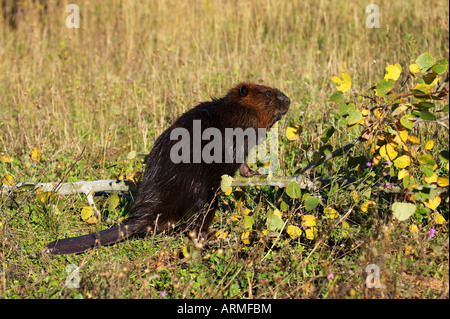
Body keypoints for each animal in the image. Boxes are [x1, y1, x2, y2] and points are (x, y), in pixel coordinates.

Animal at [46, 82, 292, 255]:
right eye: (268, 94)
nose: (288, 100)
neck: (234, 109)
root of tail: (139, 221)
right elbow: (238, 160)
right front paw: (250, 172)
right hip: (203, 195)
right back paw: (210, 237)